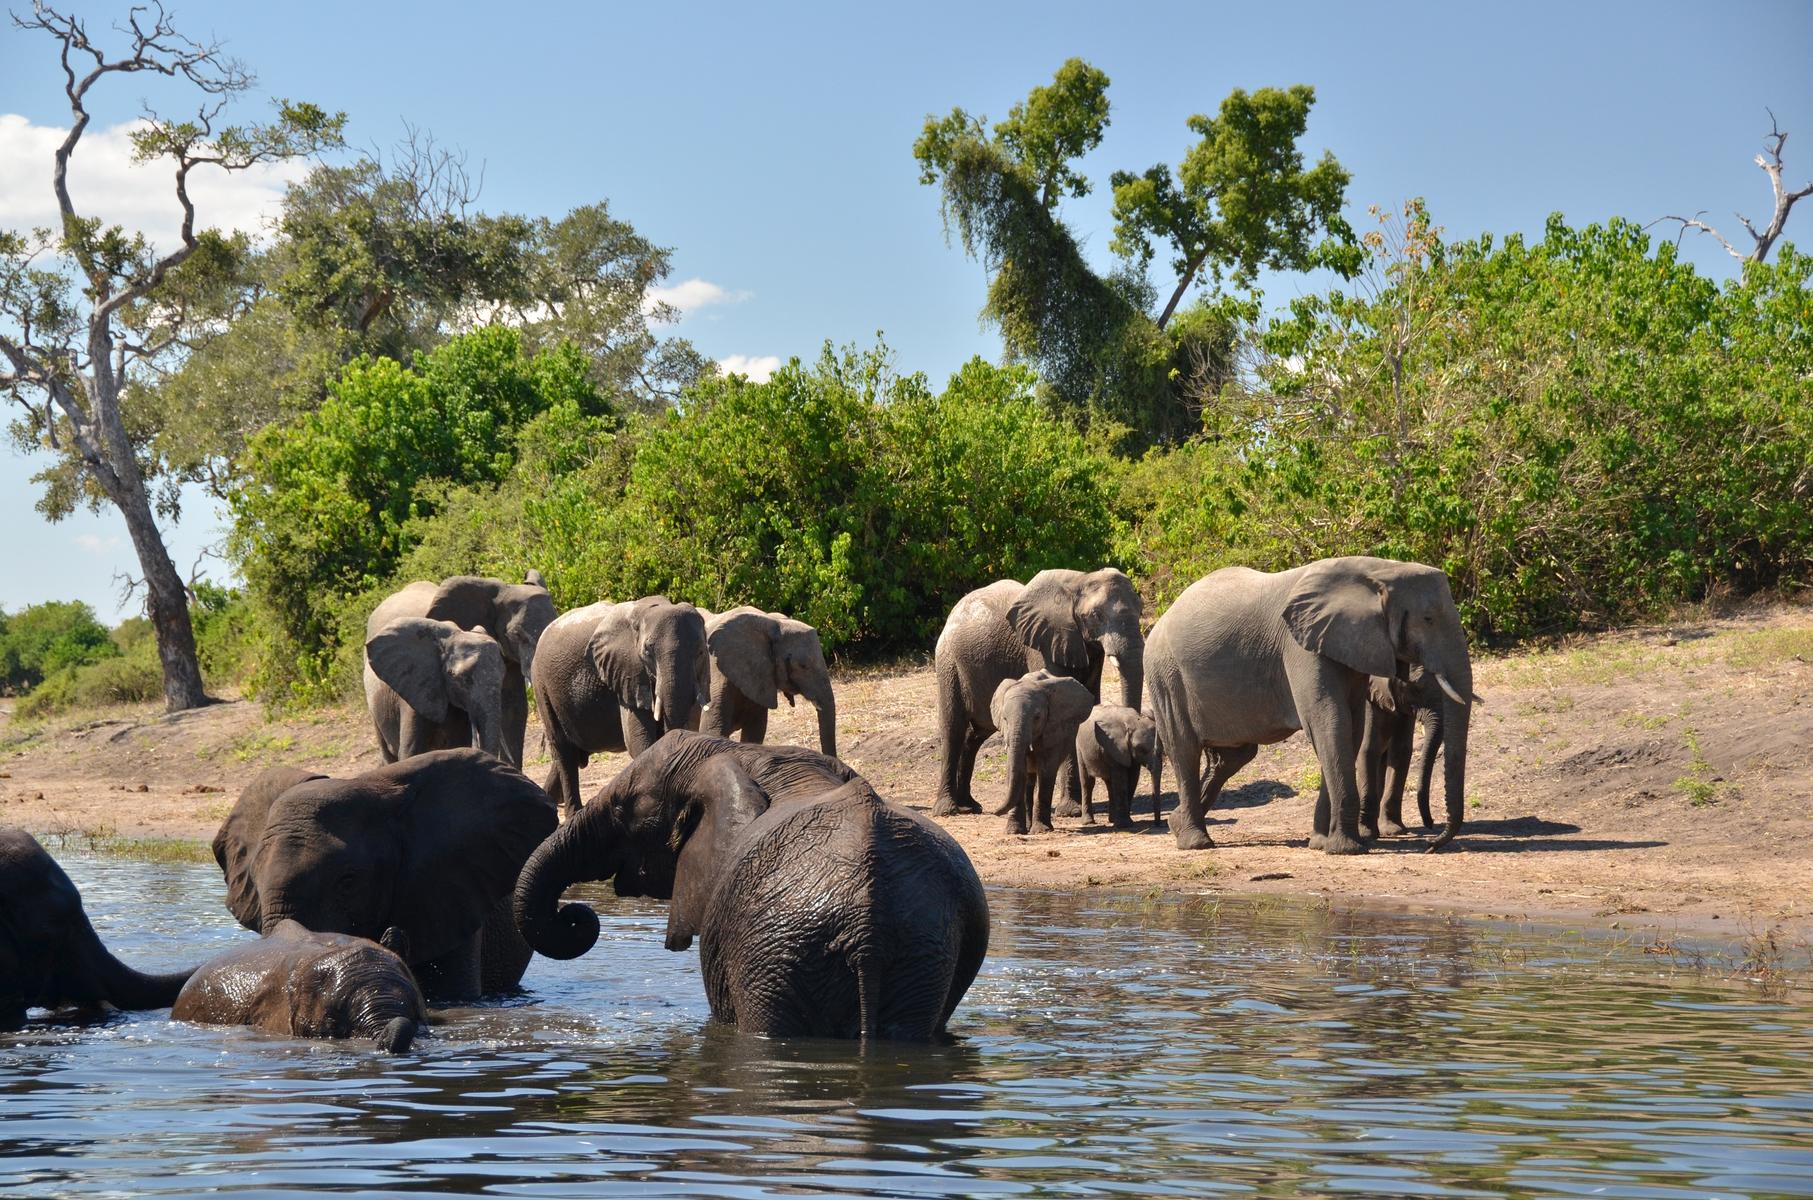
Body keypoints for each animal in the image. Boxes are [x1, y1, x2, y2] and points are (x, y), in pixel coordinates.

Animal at [515, 730, 989, 1041]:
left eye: (621, 808)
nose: (575, 913)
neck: (744, 752)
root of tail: (866, 930)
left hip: (772, 952)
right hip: (920, 953)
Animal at [532, 595, 710, 817]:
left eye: (701, 651)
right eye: (647, 651)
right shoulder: (628, 671)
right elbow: (638, 738)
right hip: (542, 685)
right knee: (564, 753)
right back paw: (572, 814)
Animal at [933, 568, 1144, 818]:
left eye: (1141, 610)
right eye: (1096, 615)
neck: (1080, 581)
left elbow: (1085, 707)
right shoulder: (1042, 645)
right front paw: (1070, 812)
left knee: (975, 735)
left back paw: (969, 806)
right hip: (948, 663)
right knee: (953, 728)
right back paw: (948, 810)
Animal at [989, 670, 1097, 835]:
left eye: (1037, 717)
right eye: (1005, 719)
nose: (993, 812)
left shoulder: (1052, 727)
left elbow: (1046, 770)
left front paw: (1041, 830)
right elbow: (1016, 770)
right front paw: (1014, 831)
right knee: (1028, 779)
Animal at [1145, 556, 1476, 855]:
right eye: (1428, 618)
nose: (1432, 843)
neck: (1378, 569)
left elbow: (1350, 729)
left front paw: (1320, 843)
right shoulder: (1301, 647)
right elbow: (1329, 722)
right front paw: (1346, 849)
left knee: (1234, 756)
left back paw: (1176, 824)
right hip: (1166, 676)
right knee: (1184, 749)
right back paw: (1196, 842)